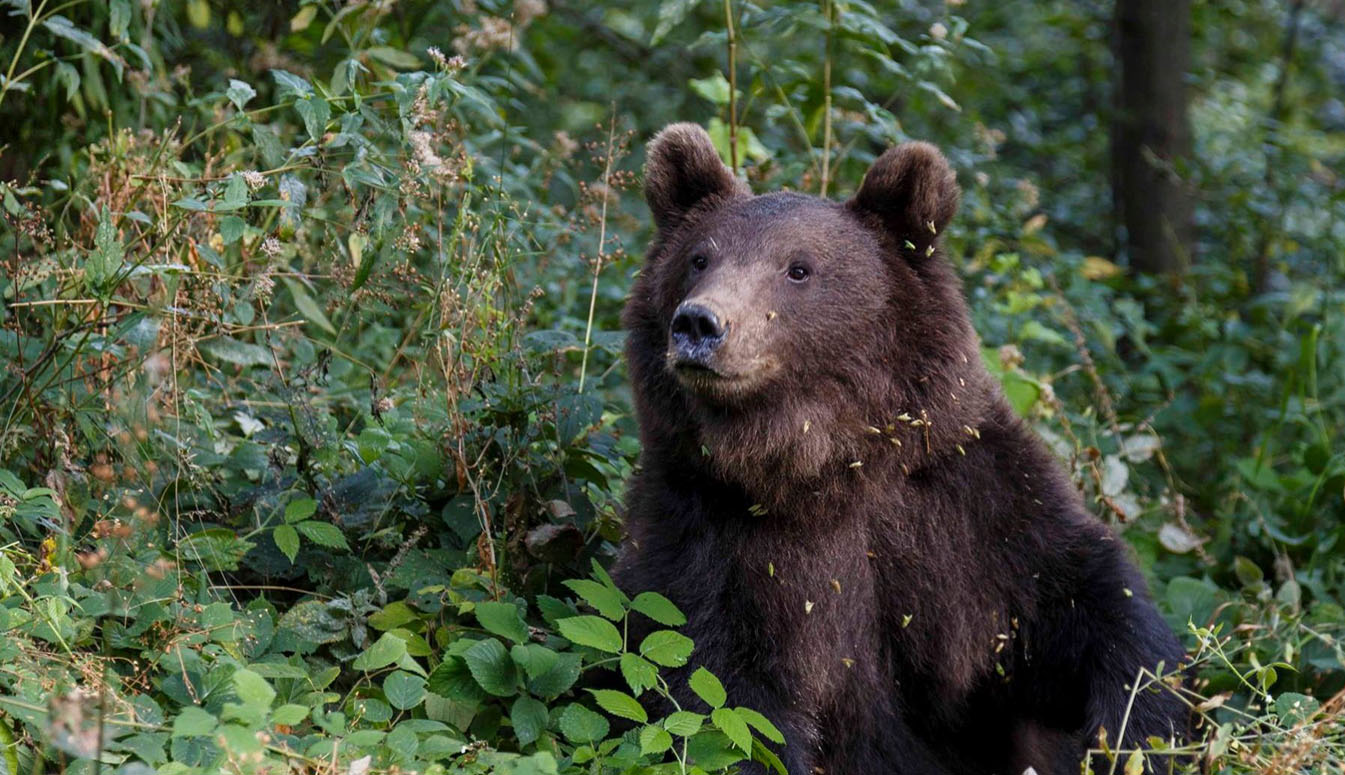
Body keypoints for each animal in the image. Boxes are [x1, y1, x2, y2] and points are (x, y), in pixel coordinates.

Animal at [613, 122, 1188, 775]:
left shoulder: (968, 510)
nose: (700, 324)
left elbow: (1086, 599)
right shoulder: (704, 537)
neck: (824, 466)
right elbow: (722, 696)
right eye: (699, 258)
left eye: (798, 268)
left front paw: (1139, 730)